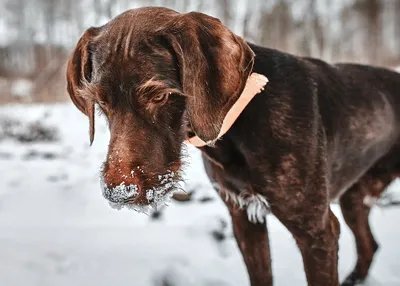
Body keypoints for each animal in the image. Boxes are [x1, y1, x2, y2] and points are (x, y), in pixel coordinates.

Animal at [65, 6, 400, 286]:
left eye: (159, 96)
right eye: (102, 102)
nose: (118, 193)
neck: (241, 119)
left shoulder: (317, 232)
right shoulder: (243, 218)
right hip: (355, 198)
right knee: (369, 244)